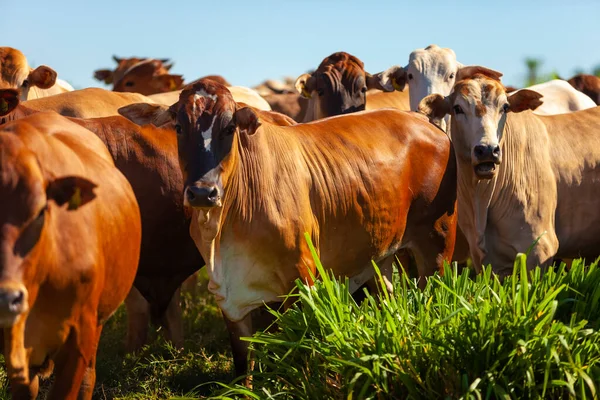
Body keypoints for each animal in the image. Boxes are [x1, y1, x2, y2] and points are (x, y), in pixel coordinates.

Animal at [168, 79, 454, 378]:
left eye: (228, 128)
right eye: (179, 127)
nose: (203, 192)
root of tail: (423, 120)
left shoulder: (301, 278)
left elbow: (298, 348)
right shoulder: (228, 298)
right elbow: (243, 365)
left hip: (438, 242)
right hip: (382, 254)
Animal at [420, 68, 600, 276]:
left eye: (505, 107)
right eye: (457, 108)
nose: (488, 150)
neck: (482, 198)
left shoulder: (539, 249)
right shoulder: (489, 261)